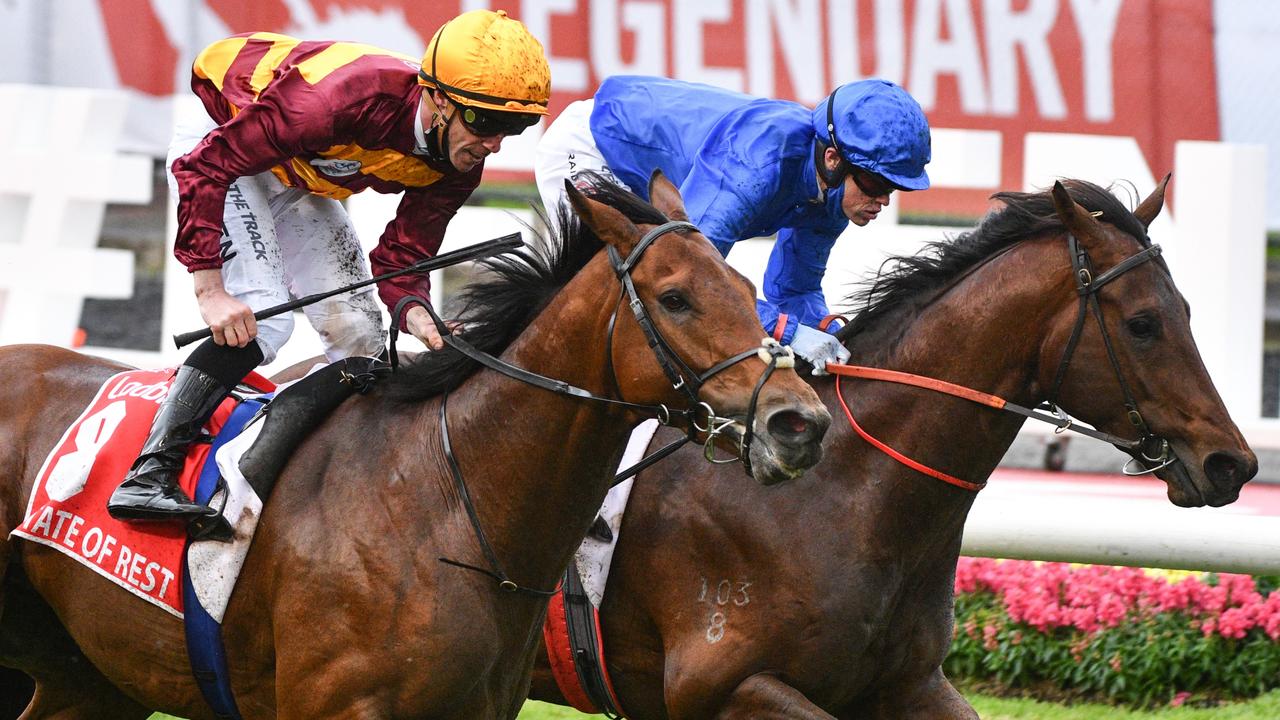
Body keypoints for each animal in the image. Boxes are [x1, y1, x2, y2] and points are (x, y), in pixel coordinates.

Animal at [524, 176, 1254, 712]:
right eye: (1143, 323)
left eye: (1187, 311)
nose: (1232, 463)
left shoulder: (909, 685)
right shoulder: (721, 688)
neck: (845, 496)